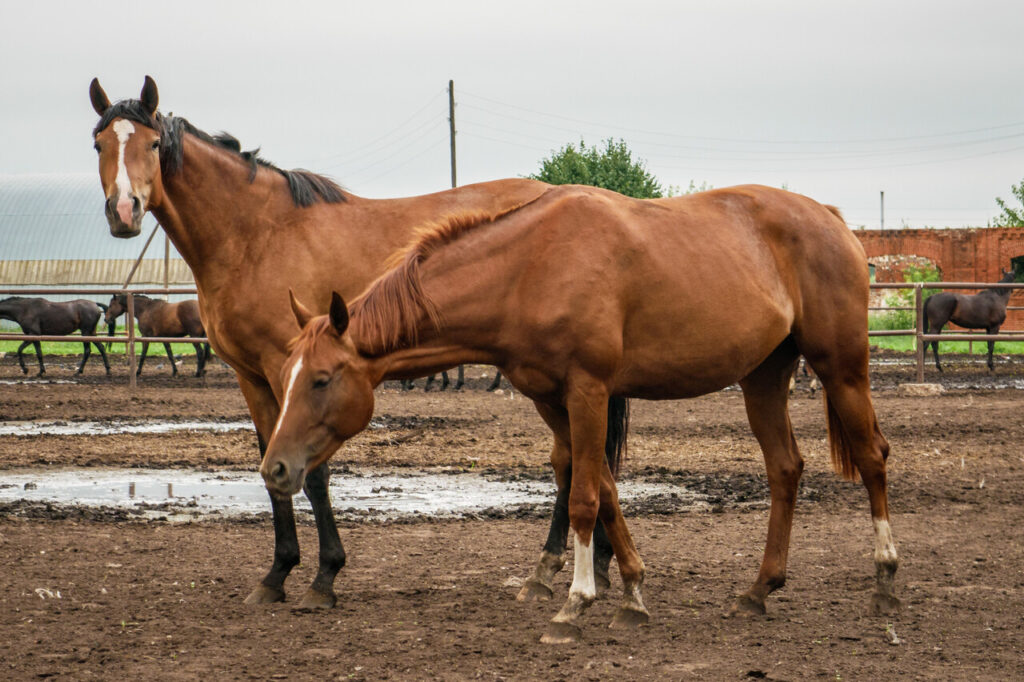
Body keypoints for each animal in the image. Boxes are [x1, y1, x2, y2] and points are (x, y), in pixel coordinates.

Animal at [90, 76, 559, 609]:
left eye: (152, 144)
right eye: (99, 144)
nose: (124, 212)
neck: (255, 236)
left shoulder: (293, 369)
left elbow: (312, 473)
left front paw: (324, 576)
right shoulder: (252, 376)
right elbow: (272, 461)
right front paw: (276, 575)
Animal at [262, 184, 899, 643]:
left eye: (321, 379)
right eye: (286, 375)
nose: (274, 469)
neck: (529, 266)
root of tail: (831, 219)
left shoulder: (588, 391)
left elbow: (585, 499)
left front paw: (574, 605)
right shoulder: (553, 401)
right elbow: (608, 491)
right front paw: (633, 596)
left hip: (841, 369)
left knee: (872, 458)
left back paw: (886, 582)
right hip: (763, 377)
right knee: (785, 469)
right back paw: (760, 590)